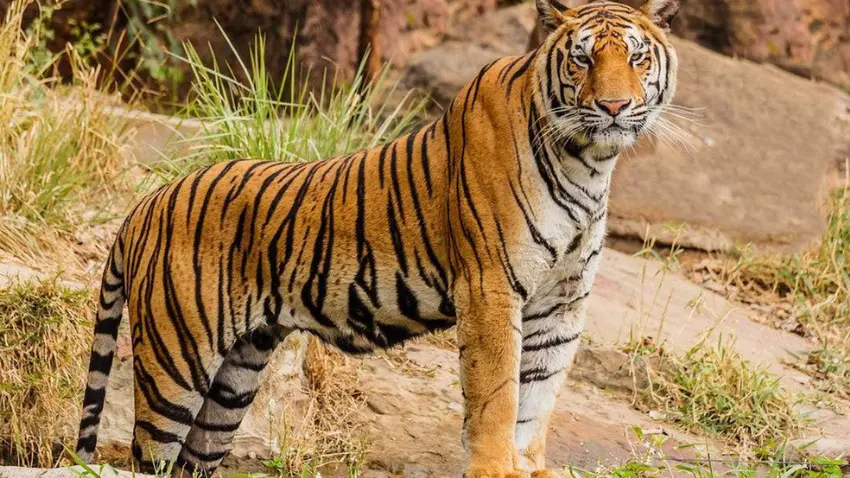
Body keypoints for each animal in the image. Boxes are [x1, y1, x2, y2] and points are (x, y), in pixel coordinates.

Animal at [75, 0, 679, 476]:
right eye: (583, 59)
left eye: (636, 58)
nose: (614, 107)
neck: (590, 162)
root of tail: (146, 203)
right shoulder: (490, 288)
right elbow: (498, 396)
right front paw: (496, 468)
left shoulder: (562, 303)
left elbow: (537, 398)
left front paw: (526, 465)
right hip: (175, 363)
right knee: (149, 454)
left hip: (234, 379)